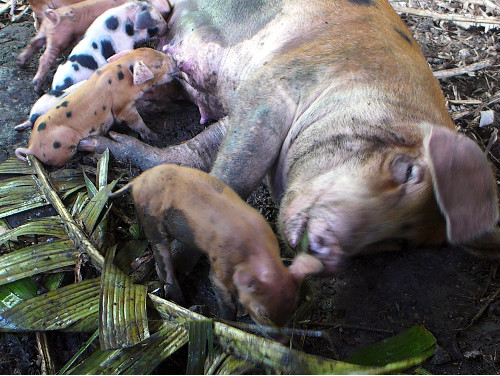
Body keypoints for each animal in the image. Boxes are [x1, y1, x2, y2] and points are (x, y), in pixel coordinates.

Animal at [80, 0, 498, 276]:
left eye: (399, 242)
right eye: (408, 171)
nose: (328, 256)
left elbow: (202, 152)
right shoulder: (277, 83)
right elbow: (233, 176)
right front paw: (165, 280)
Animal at [111, 164, 322, 326]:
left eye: (292, 307)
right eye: (262, 313)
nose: (282, 340)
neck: (255, 252)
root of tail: (137, 180)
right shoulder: (220, 265)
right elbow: (221, 291)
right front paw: (229, 321)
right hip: (152, 220)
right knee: (161, 258)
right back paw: (178, 298)